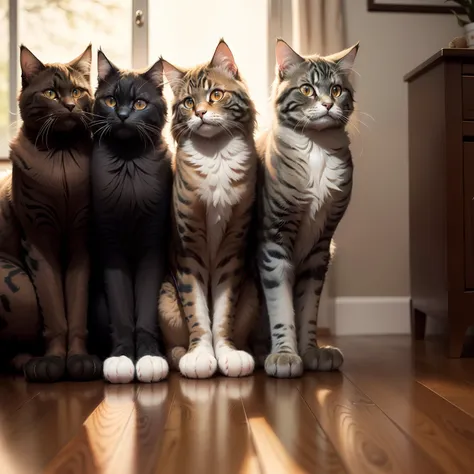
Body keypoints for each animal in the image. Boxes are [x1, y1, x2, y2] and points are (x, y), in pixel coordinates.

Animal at [0, 46, 101, 384]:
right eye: (50, 93)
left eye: (79, 92)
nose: (69, 105)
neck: (62, 159)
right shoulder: (38, 241)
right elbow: (55, 310)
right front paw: (55, 361)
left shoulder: (82, 241)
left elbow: (76, 310)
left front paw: (79, 359)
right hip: (18, 289)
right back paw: (27, 361)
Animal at [87, 51, 172, 384]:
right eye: (111, 100)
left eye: (139, 104)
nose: (122, 115)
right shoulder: (111, 248)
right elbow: (123, 312)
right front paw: (122, 357)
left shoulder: (152, 246)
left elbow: (145, 309)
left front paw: (149, 357)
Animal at [157, 41, 258, 382]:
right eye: (188, 102)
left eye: (215, 94)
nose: (200, 113)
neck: (216, 155)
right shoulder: (188, 250)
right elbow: (197, 310)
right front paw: (201, 355)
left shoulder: (232, 246)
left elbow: (223, 312)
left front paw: (226, 353)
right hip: (164, 299)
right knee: (170, 344)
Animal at [258, 38, 358, 378]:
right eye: (307, 89)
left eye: (337, 90)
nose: (327, 104)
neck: (317, 150)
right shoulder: (274, 239)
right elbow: (281, 307)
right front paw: (285, 355)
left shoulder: (320, 246)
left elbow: (307, 309)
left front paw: (311, 351)